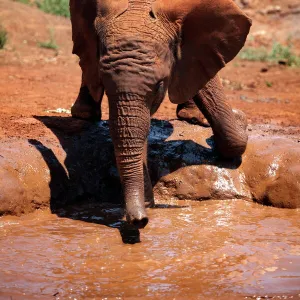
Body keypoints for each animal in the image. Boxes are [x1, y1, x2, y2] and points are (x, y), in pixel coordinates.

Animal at [69, 0, 252, 229]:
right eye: (105, 83)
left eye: (159, 86)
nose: (140, 220)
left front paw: (239, 119)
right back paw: (83, 114)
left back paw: (193, 117)